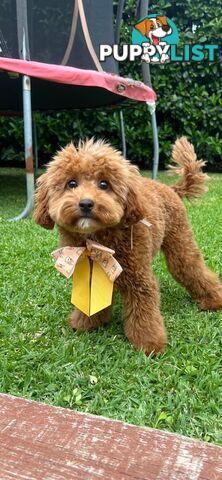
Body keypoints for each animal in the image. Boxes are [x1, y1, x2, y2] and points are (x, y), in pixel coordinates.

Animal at [33, 137, 222, 354]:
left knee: (192, 268)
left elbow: (144, 311)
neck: (95, 241)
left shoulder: (139, 278)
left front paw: (149, 343)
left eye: (104, 184)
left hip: (180, 244)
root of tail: (171, 188)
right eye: (71, 183)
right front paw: (85, 323)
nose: (86, 203)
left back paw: (213, 300)